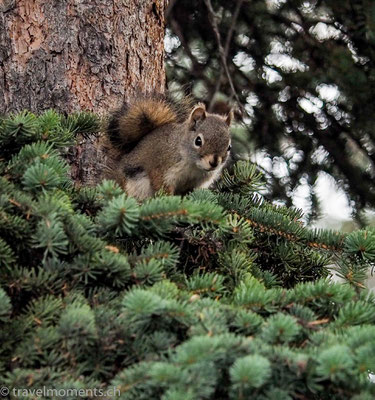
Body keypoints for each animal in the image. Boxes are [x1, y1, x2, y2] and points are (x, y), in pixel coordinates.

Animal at [103, 93, 232, 200]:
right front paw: (170, 200)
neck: (194, 166)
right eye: (198, 141)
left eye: (229, 147)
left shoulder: (195, 183)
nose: (214, 163)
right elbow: (161, 185)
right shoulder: (162, 167)